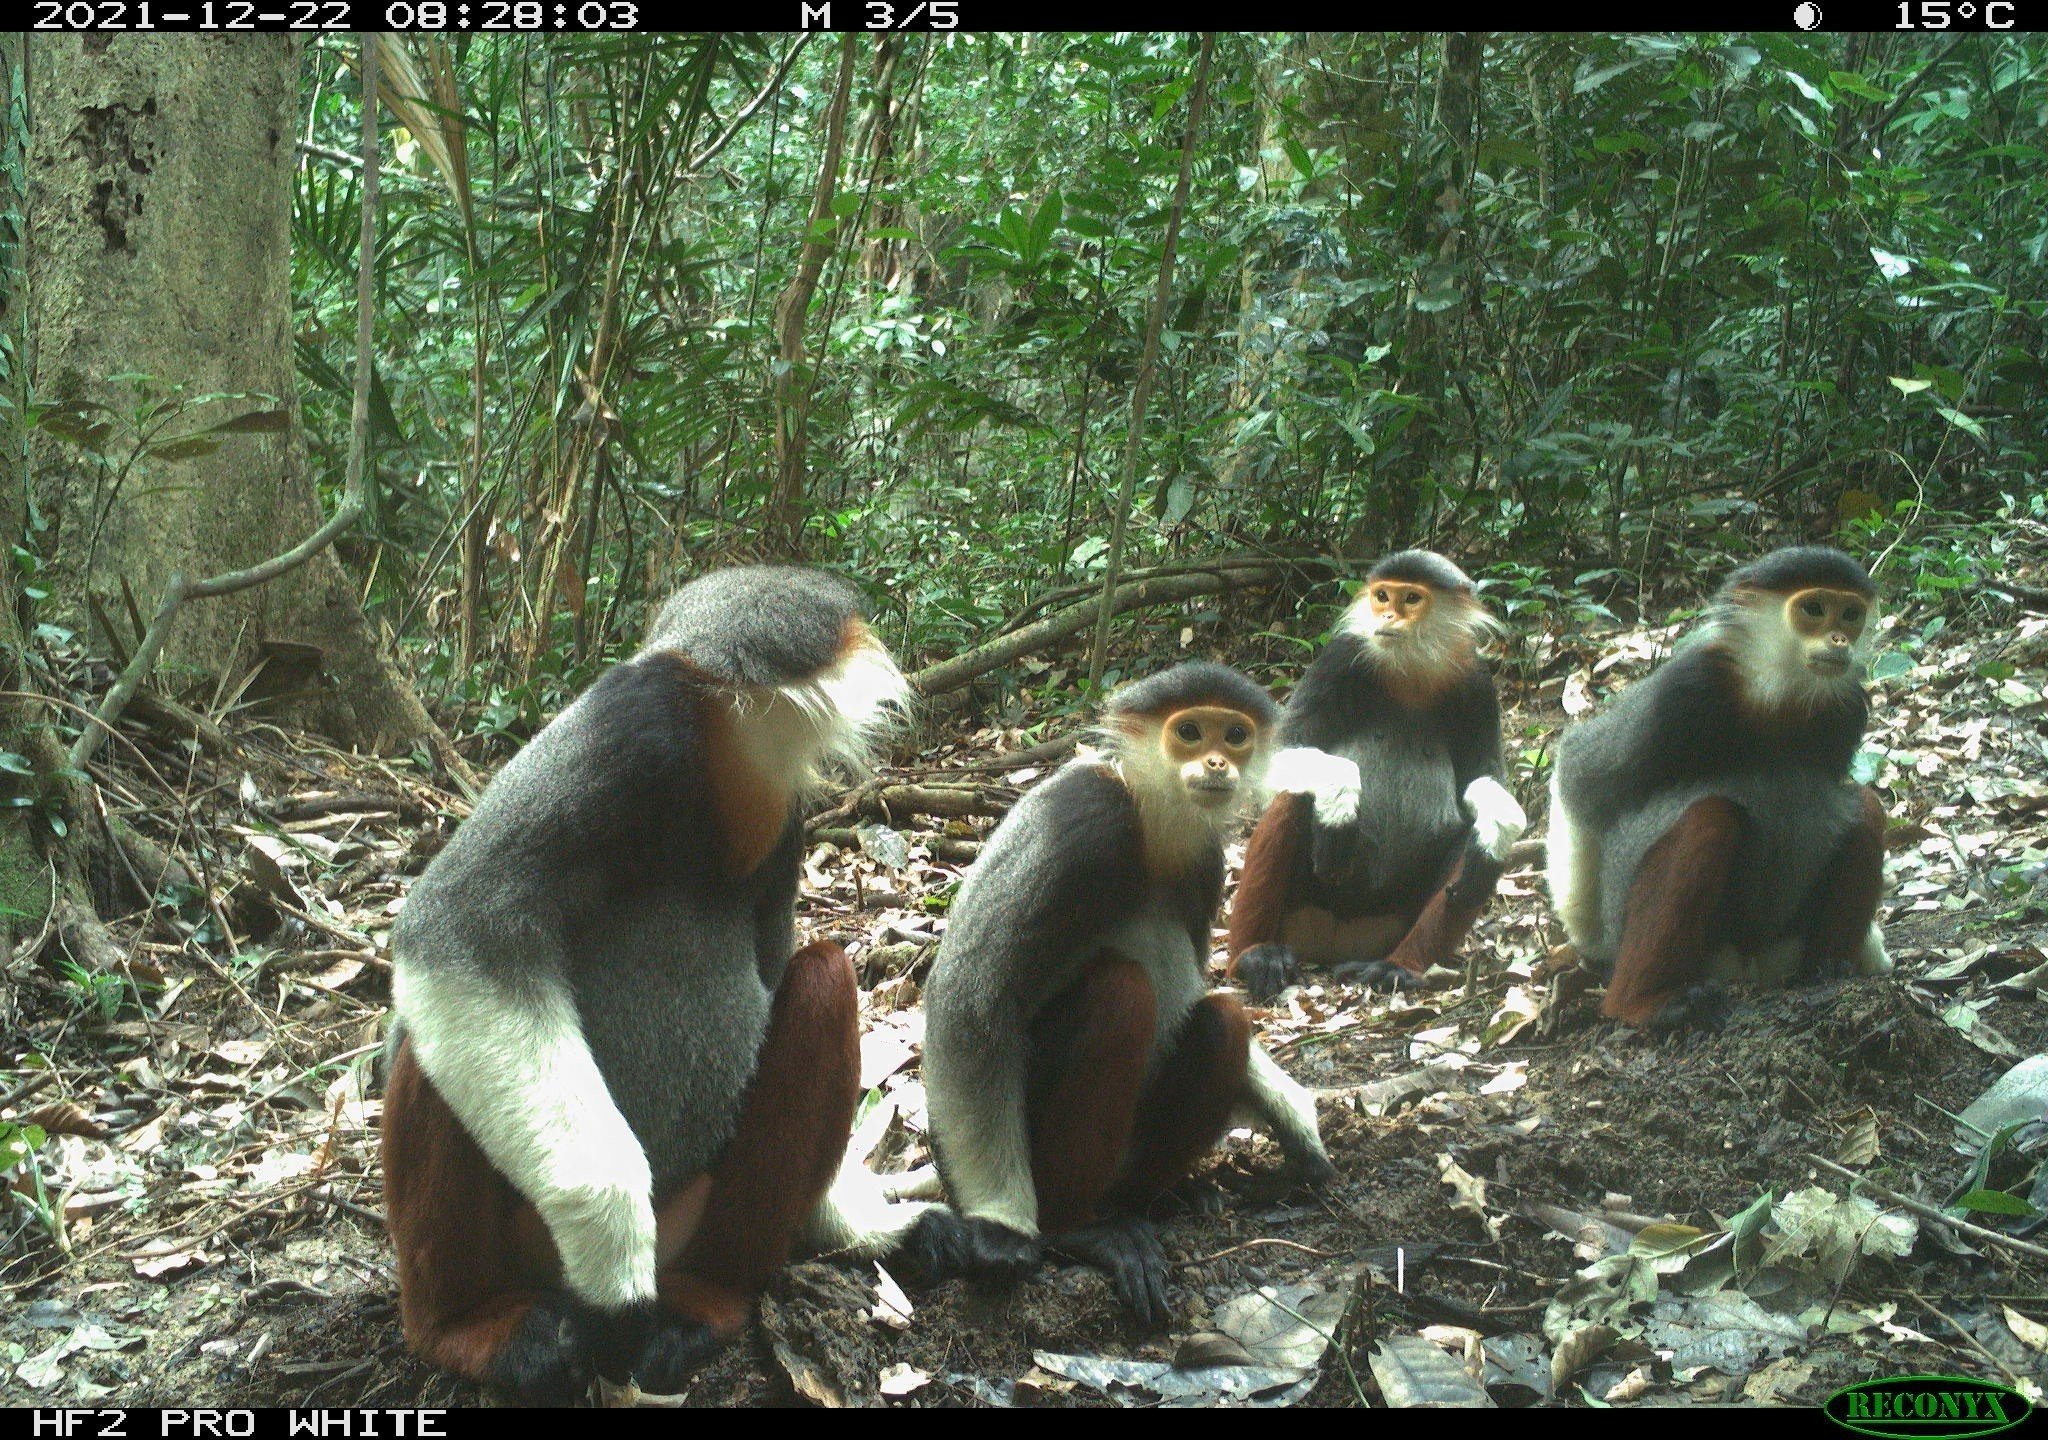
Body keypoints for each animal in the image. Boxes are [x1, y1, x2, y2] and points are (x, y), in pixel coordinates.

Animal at [380, 569, 946, 1401]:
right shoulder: (631, 724)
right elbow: (453, 927)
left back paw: (707, 1300)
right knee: (434, 1048)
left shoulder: (783, 818)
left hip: (700, 1210)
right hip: (522, 1238)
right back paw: (467, 1328)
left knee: (823, 978)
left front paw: (859, 1220)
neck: (723, 758)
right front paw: (613, 1261)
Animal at [917, 663, 1335, 1327]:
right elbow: (972, 1002)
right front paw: (1003, 1228)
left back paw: (1164, 1195)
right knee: (1122, 990)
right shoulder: (1081, 819)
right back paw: (1079, 1229)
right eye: (1189, 732)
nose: (1217, 762)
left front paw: (1296, 1120)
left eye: (1235, 735)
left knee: (1221, 1020)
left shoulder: (1205, 861)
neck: (1151, 829)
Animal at [1212, 553, 1523, 1003]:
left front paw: (1493, 834)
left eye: (1411, 598)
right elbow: (1279, 755)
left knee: (1470, 845)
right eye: (1382, 596)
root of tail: (1339, 940)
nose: (1388, 615)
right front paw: (1340, 806)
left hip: (1391, 921)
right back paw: (1253, 957)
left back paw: (1398, 967)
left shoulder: (1476, 682)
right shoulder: (1341, 657)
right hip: (1301, 914)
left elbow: (1483, 780)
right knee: (1295, 797)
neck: (1411, 670)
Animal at [1548, 544, 1884, 1032]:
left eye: (1851, 614)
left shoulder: (1848, 706)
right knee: (1709, 818)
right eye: (1814, 610)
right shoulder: (1684, 689)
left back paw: (1828, 969)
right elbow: (1579, 779)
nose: (1841, 640)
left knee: (1865, 806)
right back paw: (1642, 1002)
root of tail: (1751, 966)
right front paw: (1588, 947)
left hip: (1785, 939)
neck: (1776, 695)